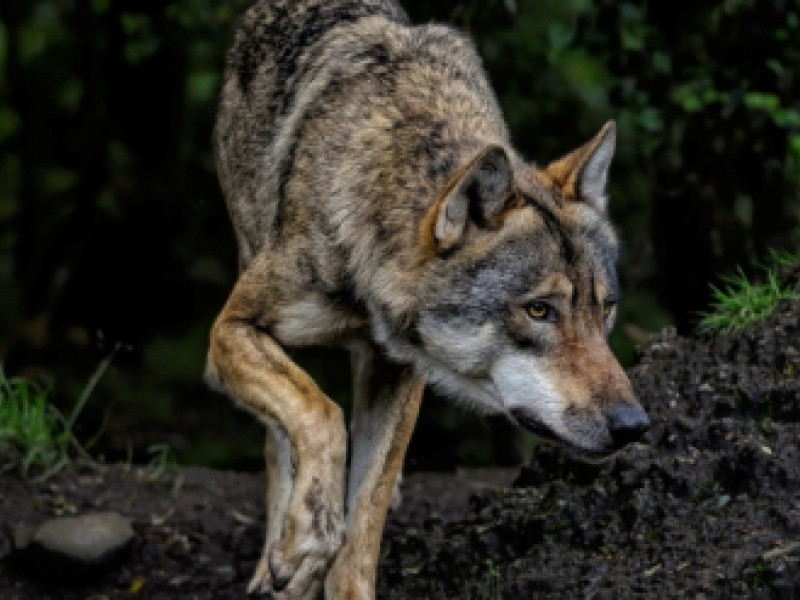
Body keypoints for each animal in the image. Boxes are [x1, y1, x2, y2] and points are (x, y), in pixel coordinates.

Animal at [203, 1, 648, 600]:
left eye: (605, 309)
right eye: (539, 310)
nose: (633, 425)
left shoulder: (399, 371)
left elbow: (362, 524)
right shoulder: (230, 330)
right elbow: (320, 413)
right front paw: (304, 543)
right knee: (282, 441)